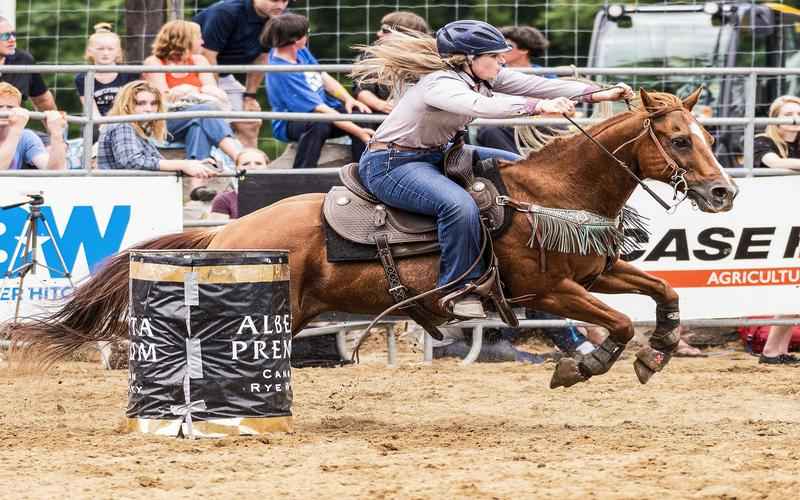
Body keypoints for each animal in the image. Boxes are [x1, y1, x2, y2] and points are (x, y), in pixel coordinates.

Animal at [7, 89, 736, 386]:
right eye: (678, 140)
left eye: (703, 135)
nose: (723, 193)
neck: (548, 193)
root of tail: (225, 231)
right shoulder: (549, 290)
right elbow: (616, 323)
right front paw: (583, 365)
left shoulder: (592, 274)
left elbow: (665, 294)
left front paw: (656, 353)